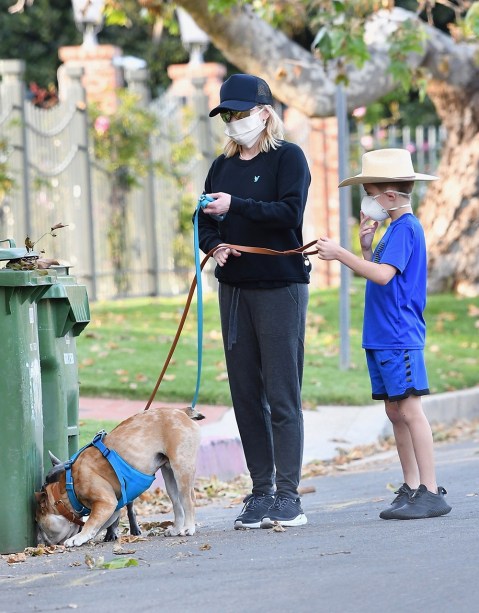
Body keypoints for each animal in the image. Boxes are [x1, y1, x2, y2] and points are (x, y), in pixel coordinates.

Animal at [34, 406, 202, 544]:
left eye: (39, 523)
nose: (40, 540)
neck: (68, 486)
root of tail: (181, 411)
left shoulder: (106, 502)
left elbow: (90, 522)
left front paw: (78, 537)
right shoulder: (112, 510)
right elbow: (98, 525)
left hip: (181, 467)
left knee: (188, 499)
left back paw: (188, 528)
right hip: (170, 475)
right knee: (177, 502)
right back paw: (176, 529)